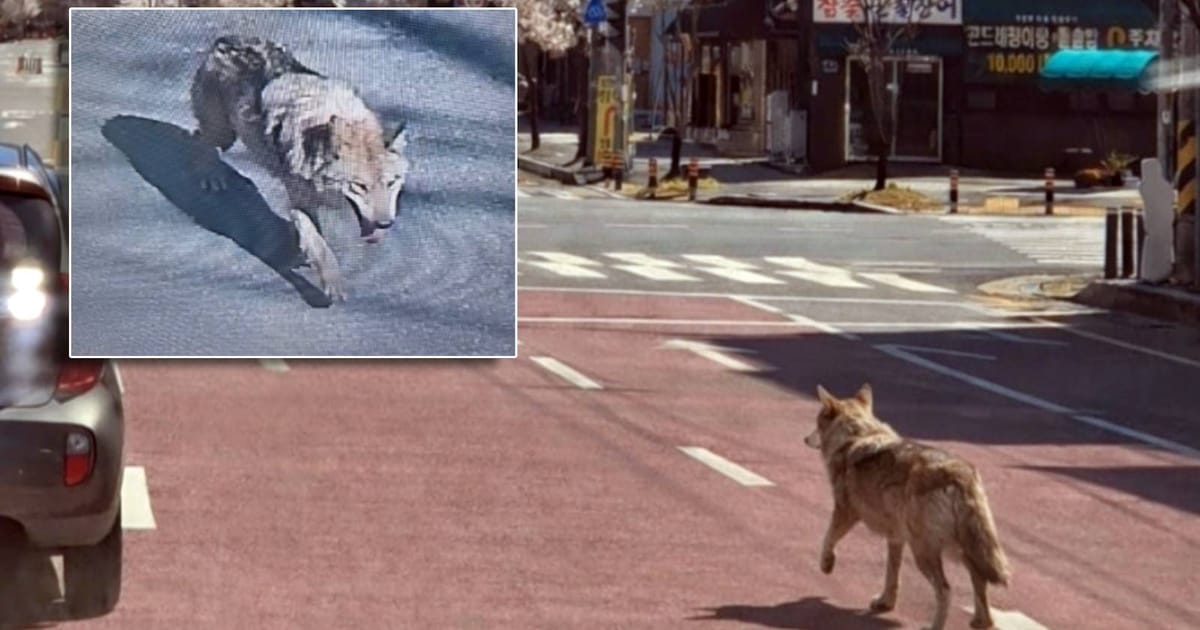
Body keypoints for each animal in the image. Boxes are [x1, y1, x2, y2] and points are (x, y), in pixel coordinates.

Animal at [189, 35, 409, 300]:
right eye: (360, 186)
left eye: (391, 183)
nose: (386, 224)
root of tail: (226, 40)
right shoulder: (299, 201)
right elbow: (320, 244)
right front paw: (331, 282)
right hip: (224, 134)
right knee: (199, 137)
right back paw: (210, 176)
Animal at [804, 384, 1011, 630]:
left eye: (816, 424)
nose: (804, 439)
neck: (855, 436)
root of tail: (959, 475)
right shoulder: (895, 537)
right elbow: (892, 575)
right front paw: (885, 603)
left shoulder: (845, 512)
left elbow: (827, 539)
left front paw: (826, 565)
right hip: (962, 549)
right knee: (980, 583)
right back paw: (980, 622)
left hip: (924, 552)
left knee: (945, 591)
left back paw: (935, 627)